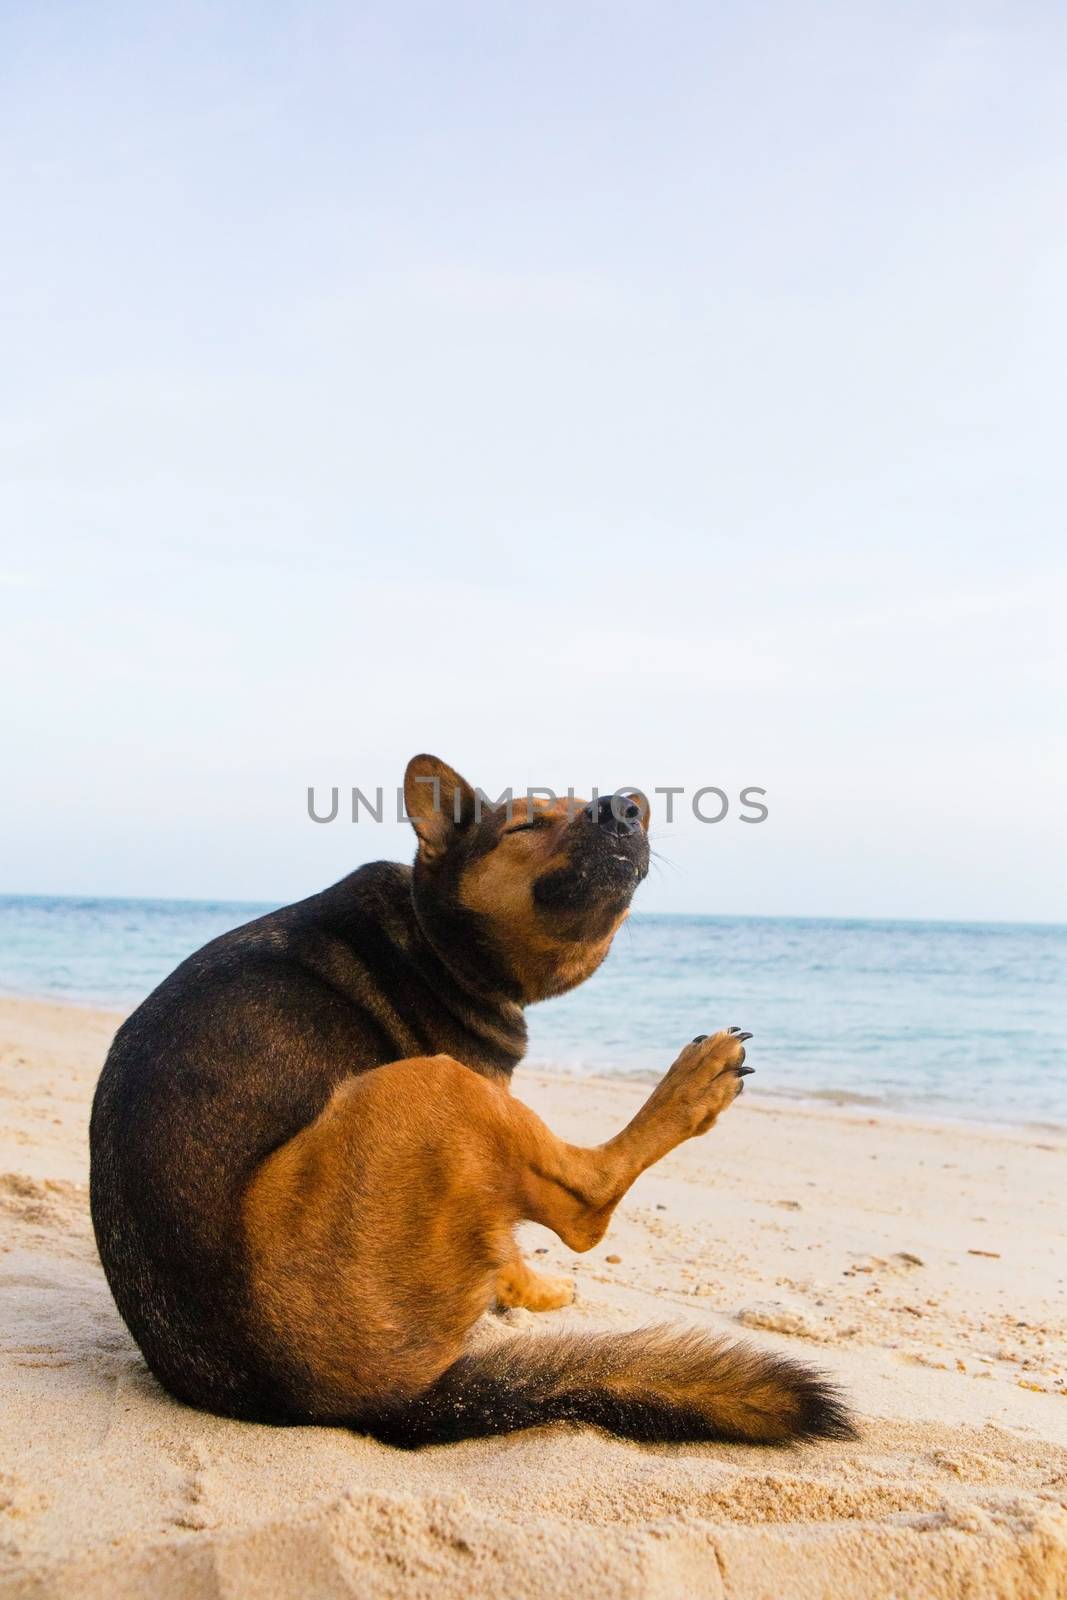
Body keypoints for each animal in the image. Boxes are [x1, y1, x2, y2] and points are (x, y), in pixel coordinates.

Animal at [89, 755, 851, 1446]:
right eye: (528, 824)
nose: (629, 807)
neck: (435, 939)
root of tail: (367, 1404)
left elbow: (505, 1246)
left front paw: (528, 1291)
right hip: (437, 1084)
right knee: (587, 1203)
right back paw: (693, 1085)